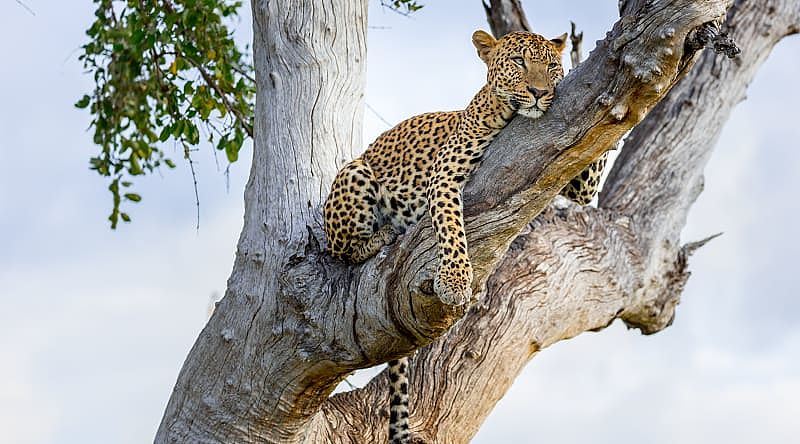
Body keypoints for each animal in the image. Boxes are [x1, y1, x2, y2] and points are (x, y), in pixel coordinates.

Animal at [322, 29, 608, 442]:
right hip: (354, 174)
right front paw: (456, 281)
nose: (539, 92)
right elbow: (453, 231)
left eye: (551, 66)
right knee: (341, 249)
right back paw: (384, 236)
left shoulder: (579, 183)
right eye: (519, 62)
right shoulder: (443, 178)